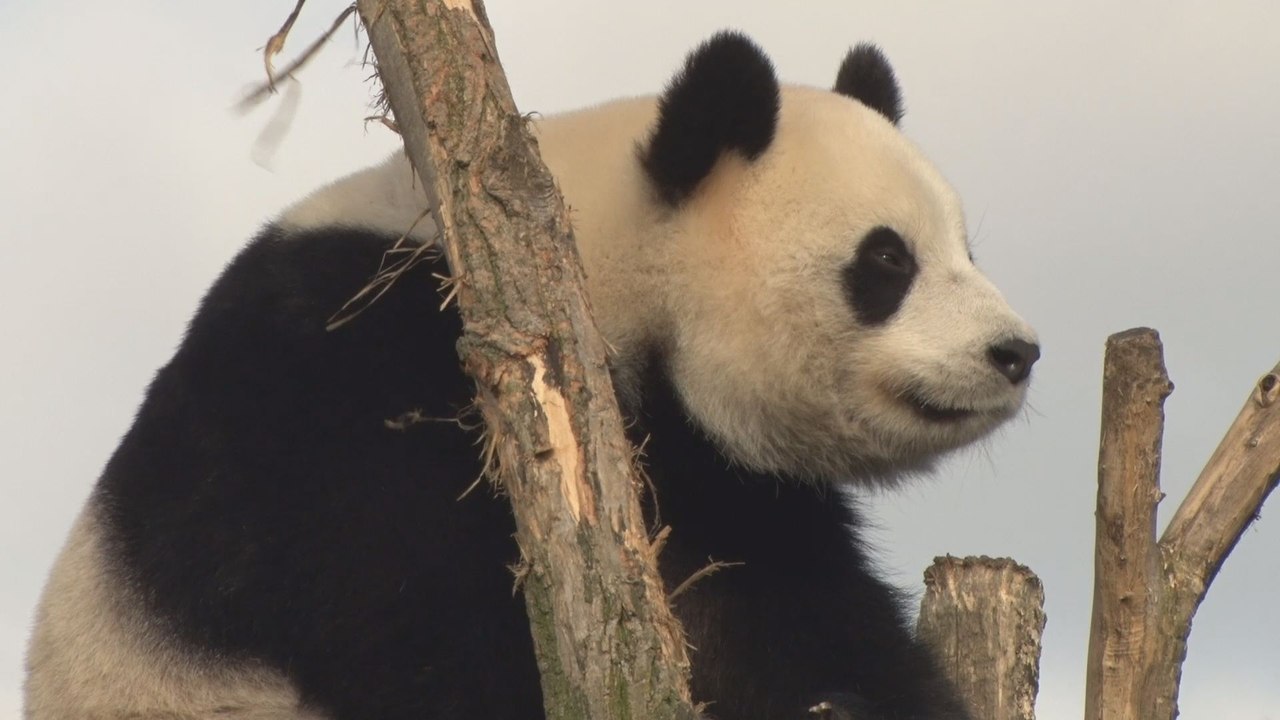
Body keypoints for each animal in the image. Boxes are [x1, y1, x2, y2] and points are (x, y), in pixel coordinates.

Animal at [25, 32, 1038, 720]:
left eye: (969, 251)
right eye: (887, 261)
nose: (1018, 352)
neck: (591, 263)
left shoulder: (724, 483)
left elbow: (792, 620)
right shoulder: (348, 386)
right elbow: (411, 621)